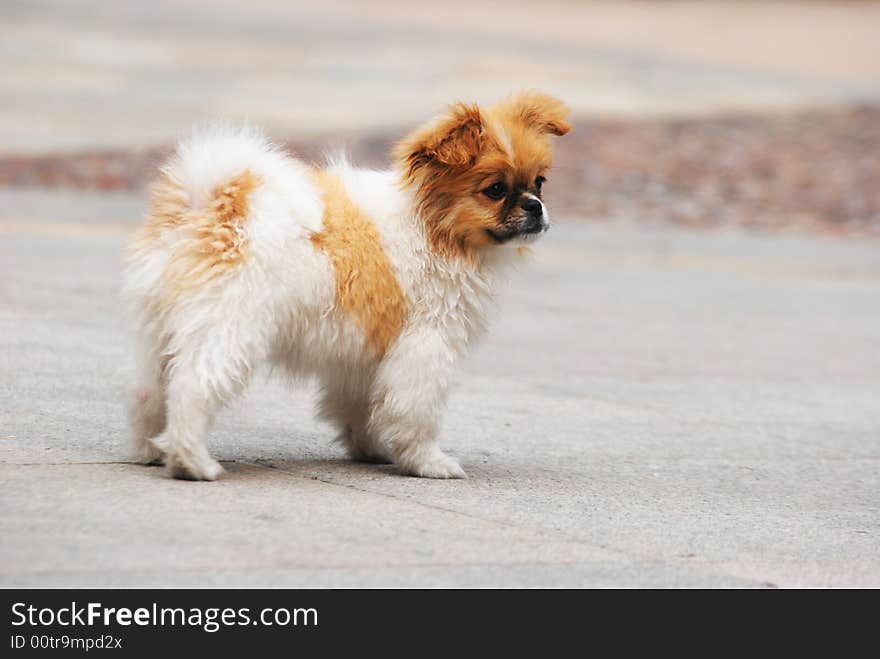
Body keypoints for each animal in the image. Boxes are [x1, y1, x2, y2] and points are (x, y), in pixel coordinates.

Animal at [124, 91, 572, 480]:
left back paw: (152, 450)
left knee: (151, 391)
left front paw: (371, 449)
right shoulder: (424, 346)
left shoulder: (363, 355)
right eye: (495, 190)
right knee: (192, 387)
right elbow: (415, 412)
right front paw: (428, 462)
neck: (431, 227)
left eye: (540, 182)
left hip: (162, 329)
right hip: (231, 328)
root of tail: (211, 206)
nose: (535, 207)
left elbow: (362, 408)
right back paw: (192, 462)